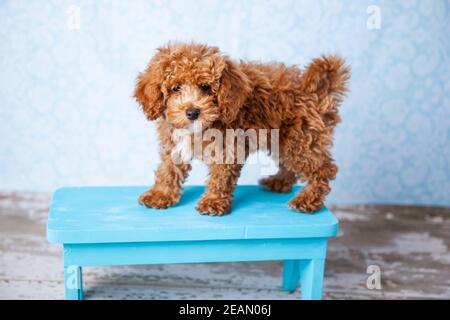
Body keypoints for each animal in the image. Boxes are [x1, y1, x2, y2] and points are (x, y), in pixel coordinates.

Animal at [135, 42, 350, 215]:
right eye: (175, 88)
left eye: (205, 87)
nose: (192, 112)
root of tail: (315, 92)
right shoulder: (175, 145)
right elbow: (168, 169)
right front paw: (160, 194)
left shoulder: (227, 147)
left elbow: (220, 177)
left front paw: (213, 201)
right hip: (283, 139)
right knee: (289, 166)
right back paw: (279, 182)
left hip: (300, 140)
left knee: (324, 169)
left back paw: (307, 199)